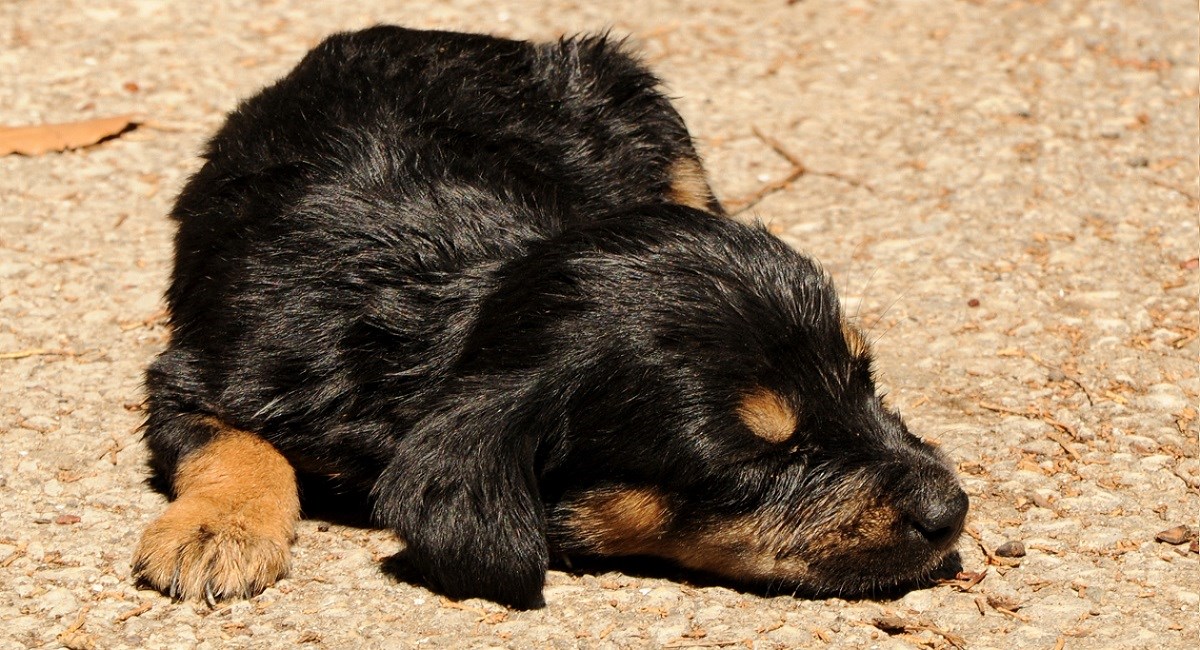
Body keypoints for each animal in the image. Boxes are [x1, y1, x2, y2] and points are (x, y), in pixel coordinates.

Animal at [136, 22, 969, 609]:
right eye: (757, 462)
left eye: (864, 381)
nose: (953, 508)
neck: (451, 296)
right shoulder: (201, 371)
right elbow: (233, 446)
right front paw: (219, 529)